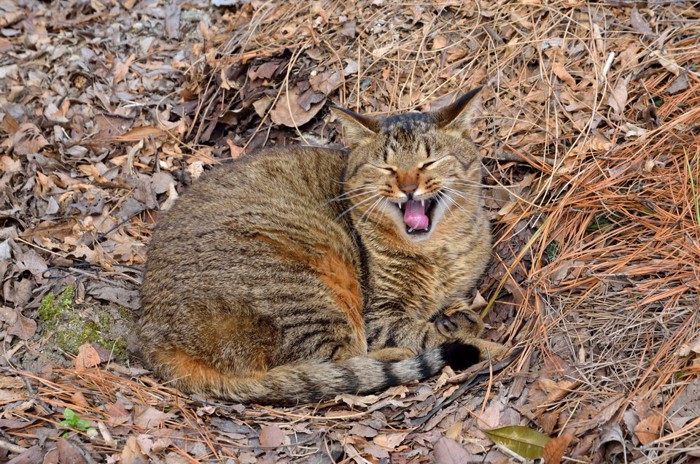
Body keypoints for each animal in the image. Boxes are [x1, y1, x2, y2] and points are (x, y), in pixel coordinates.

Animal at [139, 86, 504, 402]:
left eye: (429, 163)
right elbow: (421, 332)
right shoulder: (379, 315)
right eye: (386, 168)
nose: (409, 187)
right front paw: (479, 339)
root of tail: (152, 338)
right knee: (336, 362)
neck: (438, 251)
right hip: (306, 288)